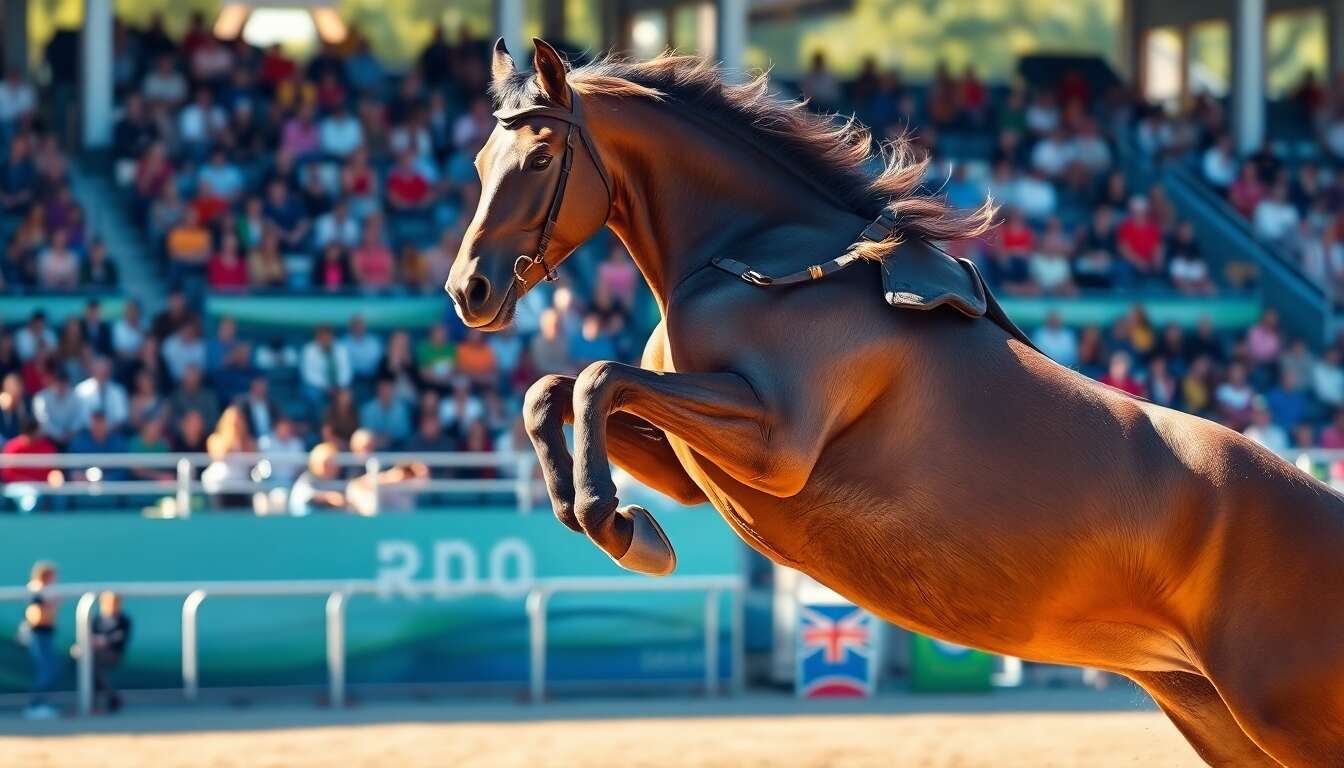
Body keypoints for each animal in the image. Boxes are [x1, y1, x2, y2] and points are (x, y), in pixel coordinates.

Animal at [445, 38, 1344, 766]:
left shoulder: (776, 444)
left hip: (1282, 714)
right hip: (1214, 713)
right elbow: (554, 391)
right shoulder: (686, 463)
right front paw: (609, 516)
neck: (758, 255)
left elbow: (599, 378)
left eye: (538, 160)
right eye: (481, 164)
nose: (469, 291)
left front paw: (618, 526)